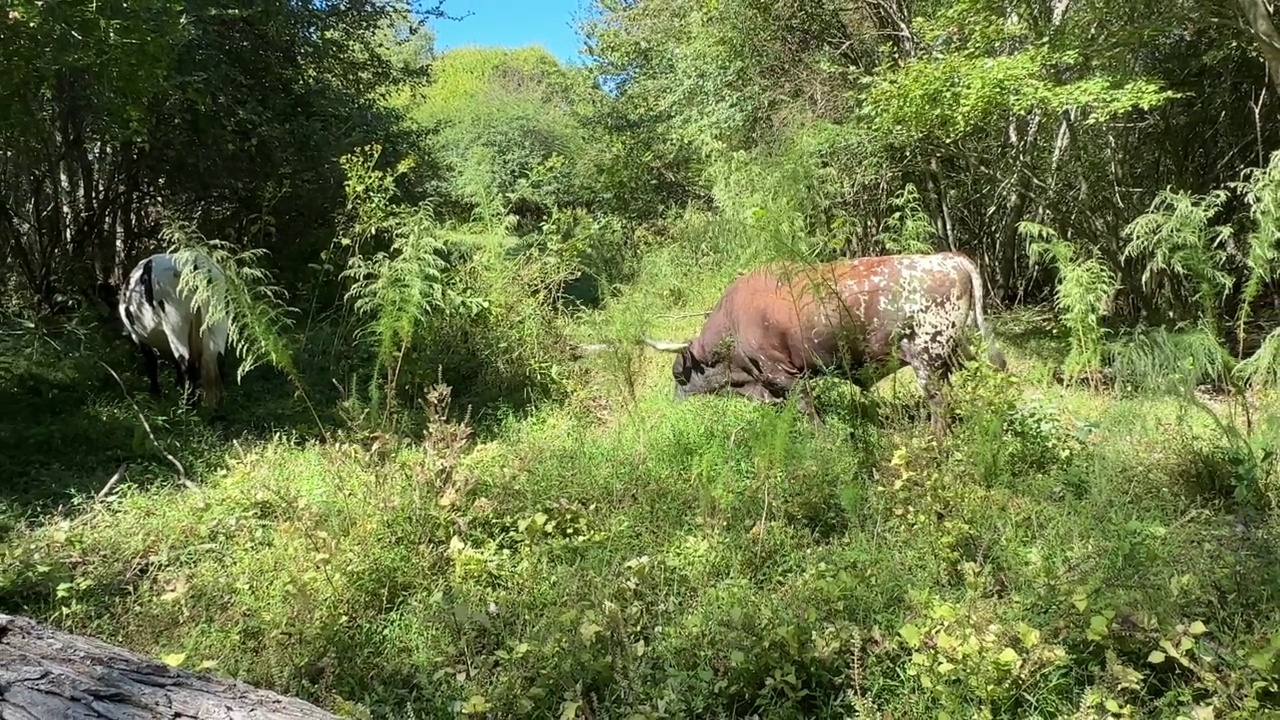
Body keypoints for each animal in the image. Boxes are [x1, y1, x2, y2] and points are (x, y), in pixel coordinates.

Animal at [634, 252, 1003, 443]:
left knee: (938, 403)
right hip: (950, 356)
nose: (673, 403)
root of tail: (948, 258)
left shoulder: (785, 375)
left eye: (679, 376)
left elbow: (807, 410)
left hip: (927, 360)